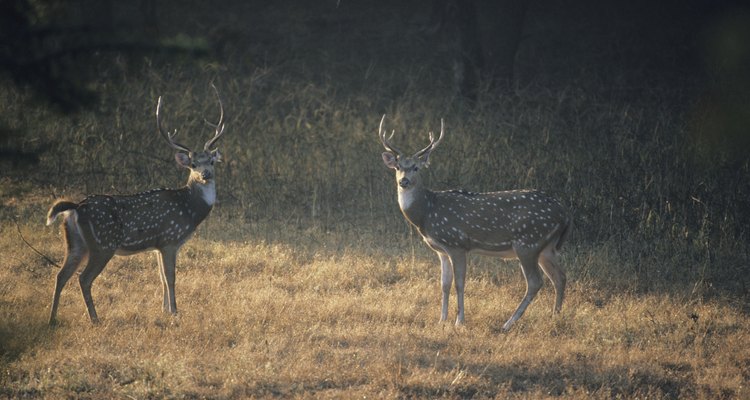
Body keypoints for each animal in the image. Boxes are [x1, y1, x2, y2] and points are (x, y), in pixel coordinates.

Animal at [43, 86, 225, 324]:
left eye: (211, 161)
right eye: (193, 164)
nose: (205, 174)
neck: (190, 209)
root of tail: (76, 208)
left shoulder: (157, 245)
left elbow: (161, 277)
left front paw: (164, 310)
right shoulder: (169, 239)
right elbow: (170, 277)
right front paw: (175, 312)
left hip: (76, 243)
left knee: (61, 274)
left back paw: (52, 319)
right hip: (103, 244)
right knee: (83, 278)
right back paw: (95, 319)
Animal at [378, 115, 572, 332]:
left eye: (416, 167)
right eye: (398, 167)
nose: (403, 181)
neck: (427, 213)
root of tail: (564, 213)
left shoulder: (457, 244)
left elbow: (459, 283)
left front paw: (459, 321)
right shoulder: (441, 251)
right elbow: (444, 284)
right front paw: (441, 320)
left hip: (528, 243)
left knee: (535, 282)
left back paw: (508, 323)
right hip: (546, 247)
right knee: (560, 277)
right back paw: (554, 317)